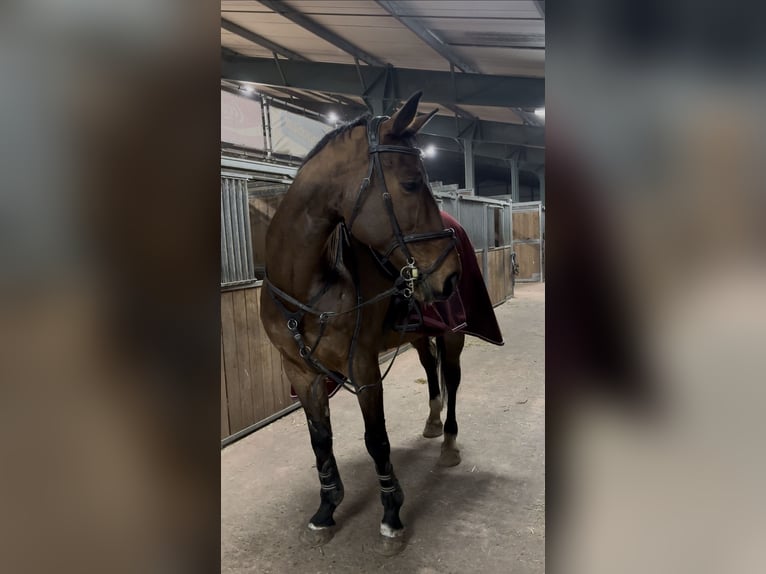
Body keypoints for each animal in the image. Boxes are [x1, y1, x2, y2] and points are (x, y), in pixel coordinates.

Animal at [260, 91, 472, 555]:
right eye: (410, 183)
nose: (450, 276)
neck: (307, 284)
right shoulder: (299, 371)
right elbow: (320, 439)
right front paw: (326, 509)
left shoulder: (363, 366)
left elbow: (376, 439)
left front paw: (391, 516)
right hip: (419, 333)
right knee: (430, 367)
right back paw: (432, 422)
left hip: (452, 333)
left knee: (451, 376)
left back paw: (448, 441)